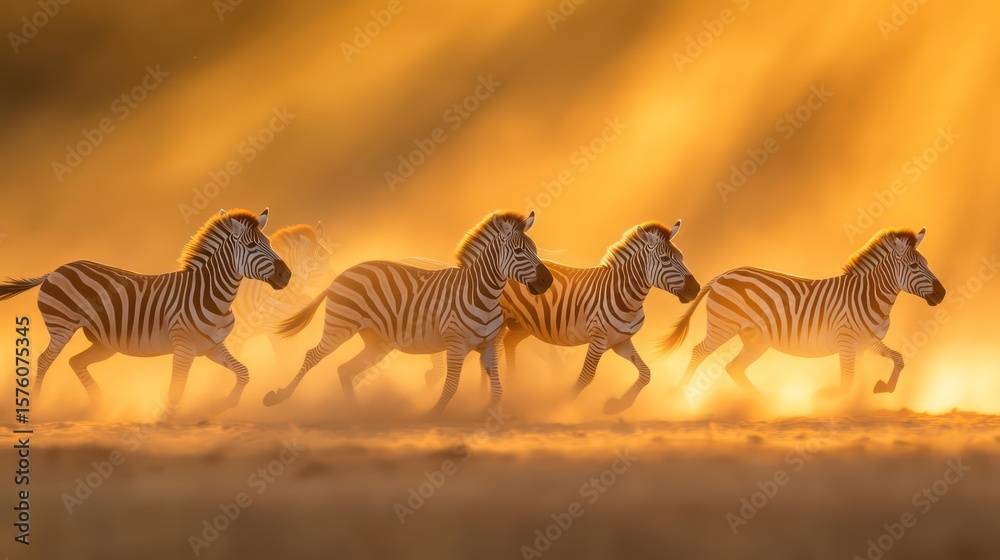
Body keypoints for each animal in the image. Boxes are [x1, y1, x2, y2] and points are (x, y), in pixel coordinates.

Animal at [0, 208, 291, 414]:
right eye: (252, 247)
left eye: (269, 243)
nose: (286, 275)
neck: (211, 296)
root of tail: (56, 269)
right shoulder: (184, 347)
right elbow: (176, 389)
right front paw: (165, 422)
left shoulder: (211, 346)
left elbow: (244, 372)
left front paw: (221, 405)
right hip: (62, 326)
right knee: (44, 361)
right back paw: (38, 407)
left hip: (104, 342)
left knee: (75, 361)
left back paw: (100, 403)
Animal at [262, 210, 553, 414]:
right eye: (519, 251)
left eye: (535, 250)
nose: (547, 280)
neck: (481, 294)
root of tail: (344, 273)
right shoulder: (455, 344)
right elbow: (451, 384)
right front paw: (433, 414)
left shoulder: (489, 345)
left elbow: (497, 387)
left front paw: (489, 410)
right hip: (340, 327)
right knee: (312, 356)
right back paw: (279, 397)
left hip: (378, 342)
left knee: (345, 370)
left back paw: (357, 413)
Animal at [428, 220, 700, 414]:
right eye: (665, 259)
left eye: (682, 257)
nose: (695, 289)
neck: (624, 294)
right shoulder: (599, 340)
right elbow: (586, 377)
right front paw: (562, 405)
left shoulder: (620, 341)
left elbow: (646, 373)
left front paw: (617, 406)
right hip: (501, 321)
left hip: (520, 324)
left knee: (505, 345)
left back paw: (512, 387)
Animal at [661, 227, 946, 400]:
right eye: (914, 266)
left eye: (926, 263)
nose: (942, 293)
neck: (869, 296)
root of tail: (723, 274)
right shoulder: (847, 342)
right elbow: (847, 381)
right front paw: (831, 401)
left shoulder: (867, 342)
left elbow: (897, 359)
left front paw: (881, 388)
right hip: (723, 327)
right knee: (698, 352)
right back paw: (678, 395)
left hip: (756, 340)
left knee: (734, 367)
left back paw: (762, 402)